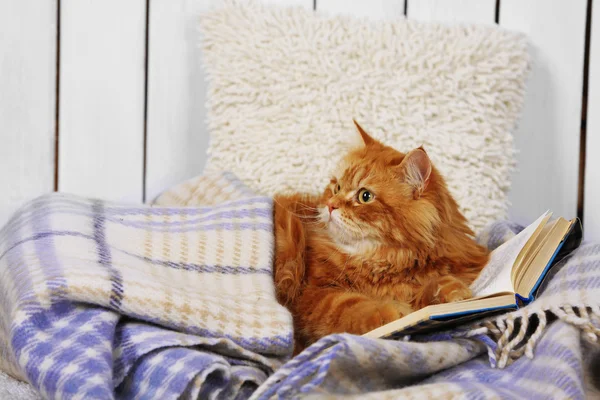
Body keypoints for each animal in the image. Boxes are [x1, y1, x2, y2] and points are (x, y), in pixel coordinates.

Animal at [274, 120, 490, 352]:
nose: (330, 205)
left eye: (365, 196)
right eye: (337, 187)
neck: (388, 261)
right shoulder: (315, 294)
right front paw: (392, 313)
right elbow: (355, 308)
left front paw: (449, 293)